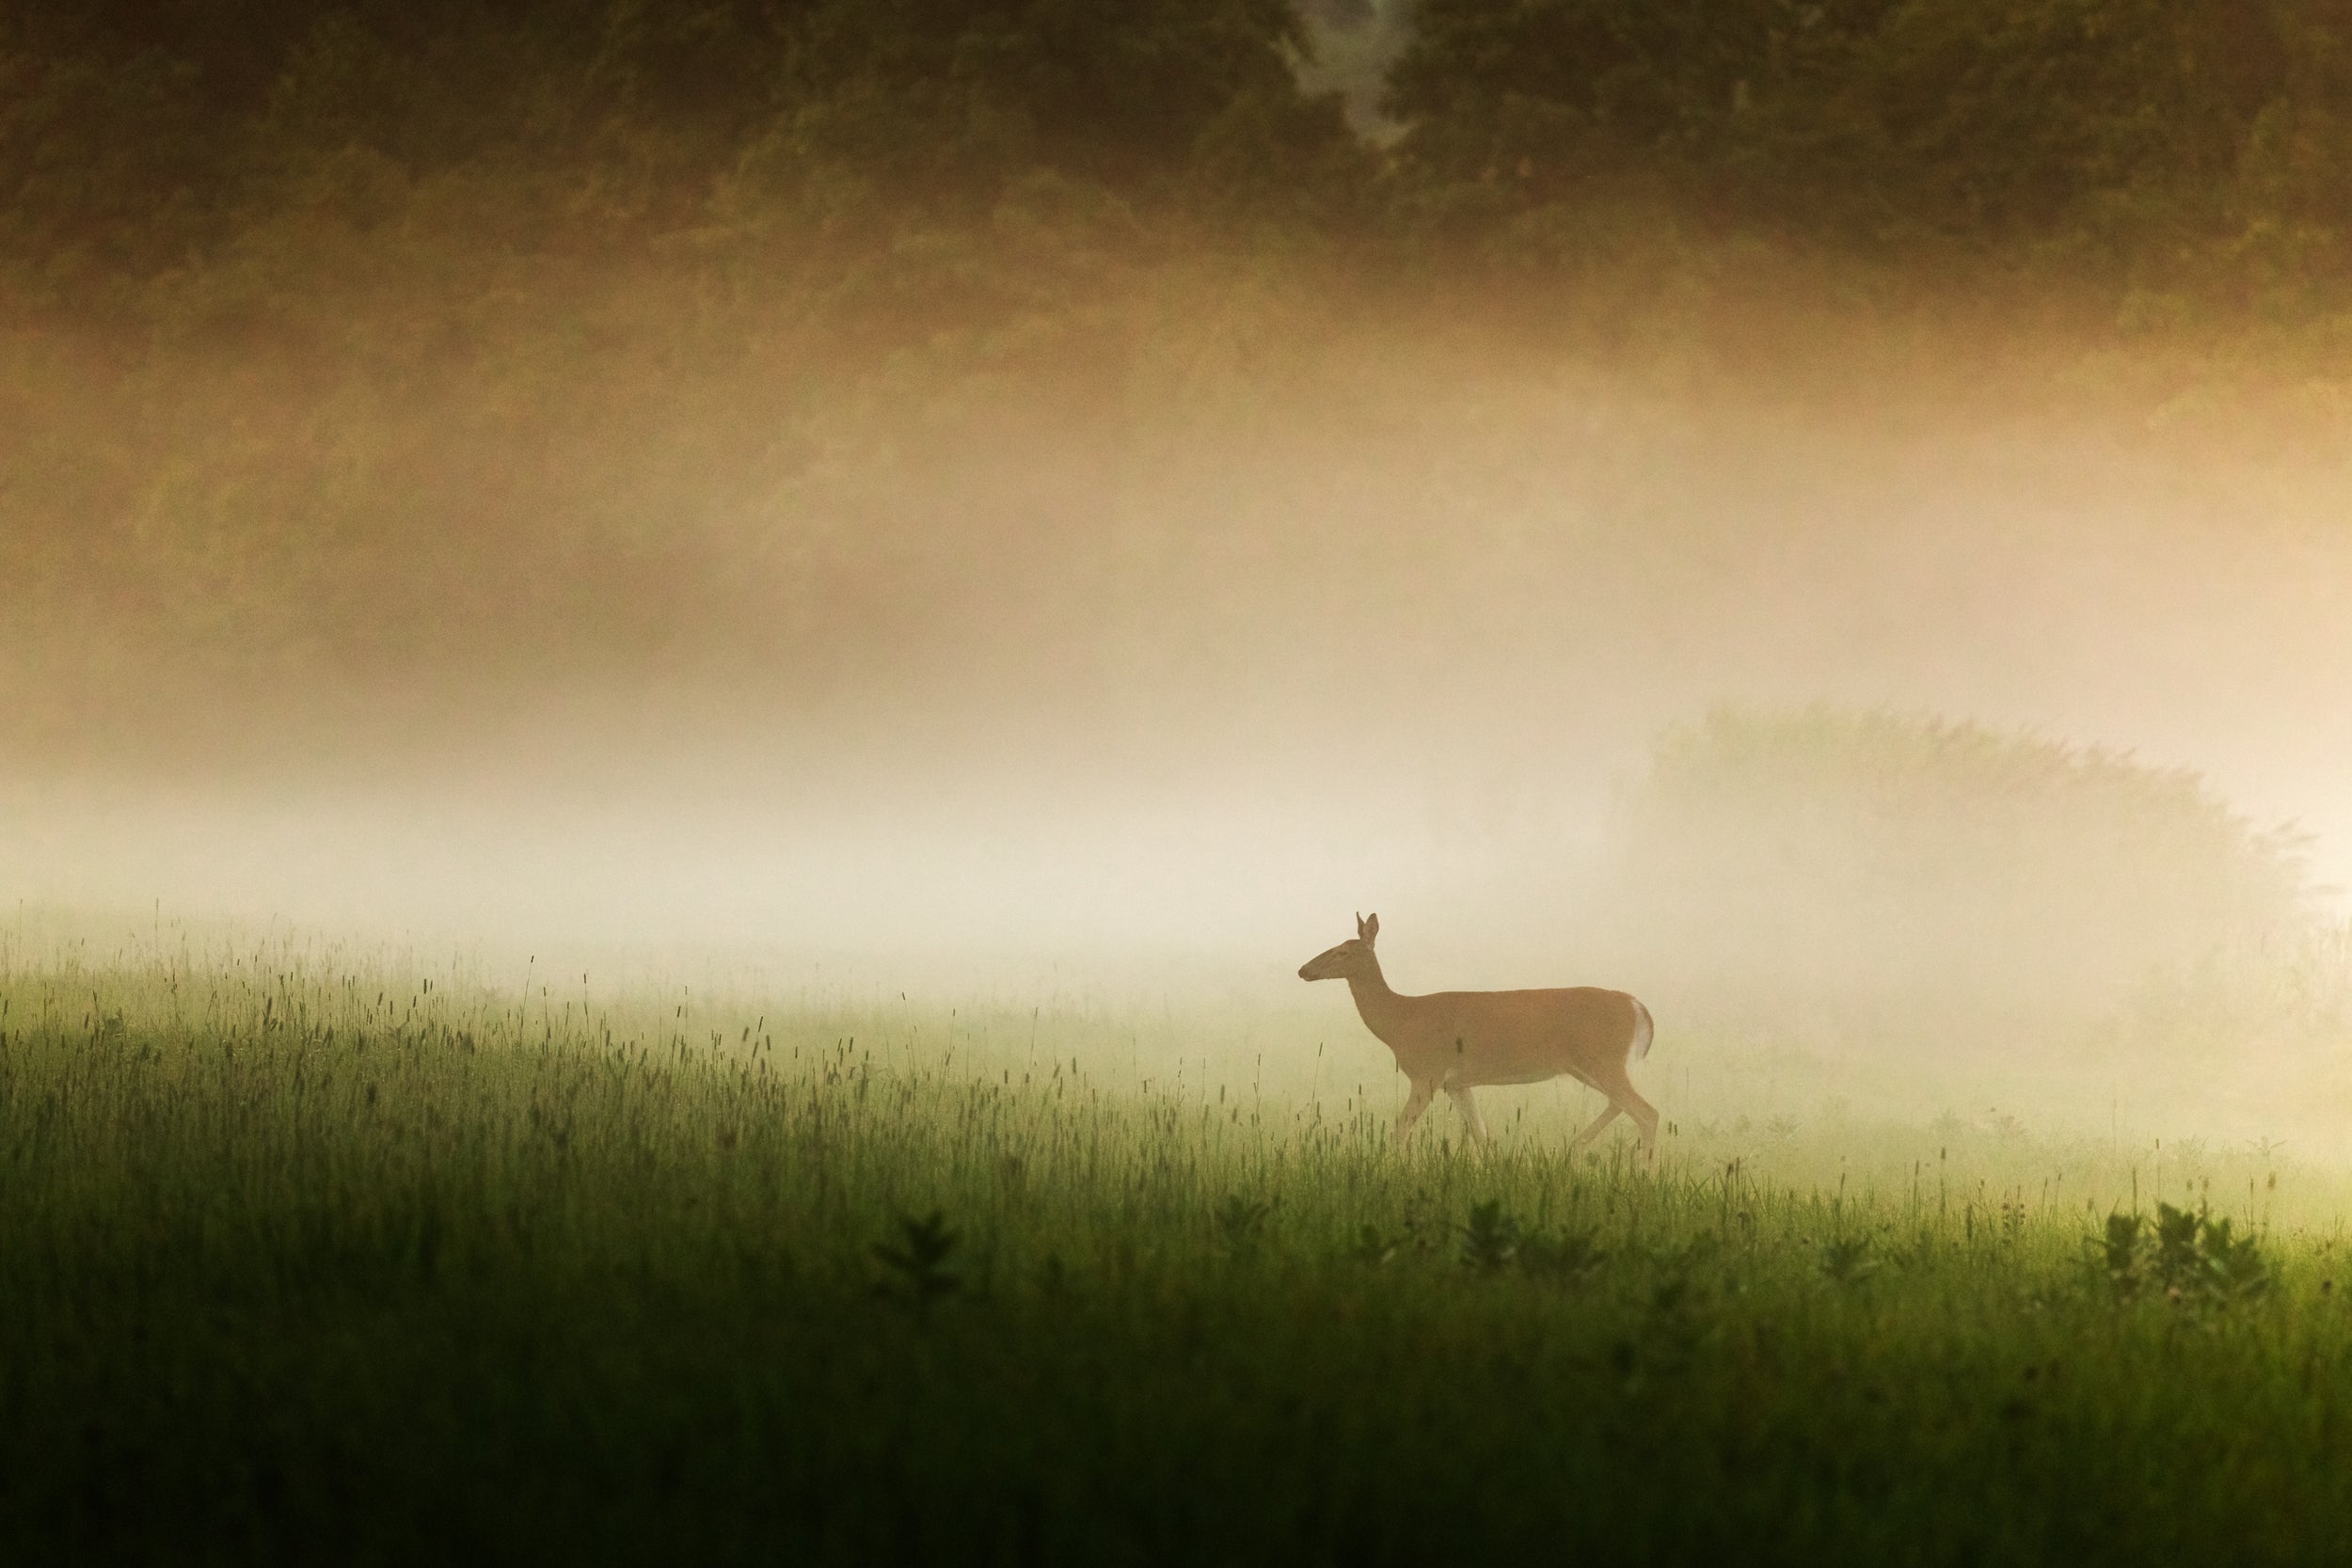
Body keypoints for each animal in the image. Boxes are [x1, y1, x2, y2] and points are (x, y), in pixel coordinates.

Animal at [1298, 913, 1659, 1157]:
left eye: (1342, 952)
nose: (1303, 970)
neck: (1401, 1021)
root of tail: (1638, 1007)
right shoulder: (1456, 1083)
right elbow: (1481, 1135)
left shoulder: (1427, 1074)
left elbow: (1400, 1128)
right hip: (1590, 1065)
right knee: (1621, 1104)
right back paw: (1574, 1146)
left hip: (1602, 1059)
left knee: (1647, 1112)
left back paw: (1641, 1171)